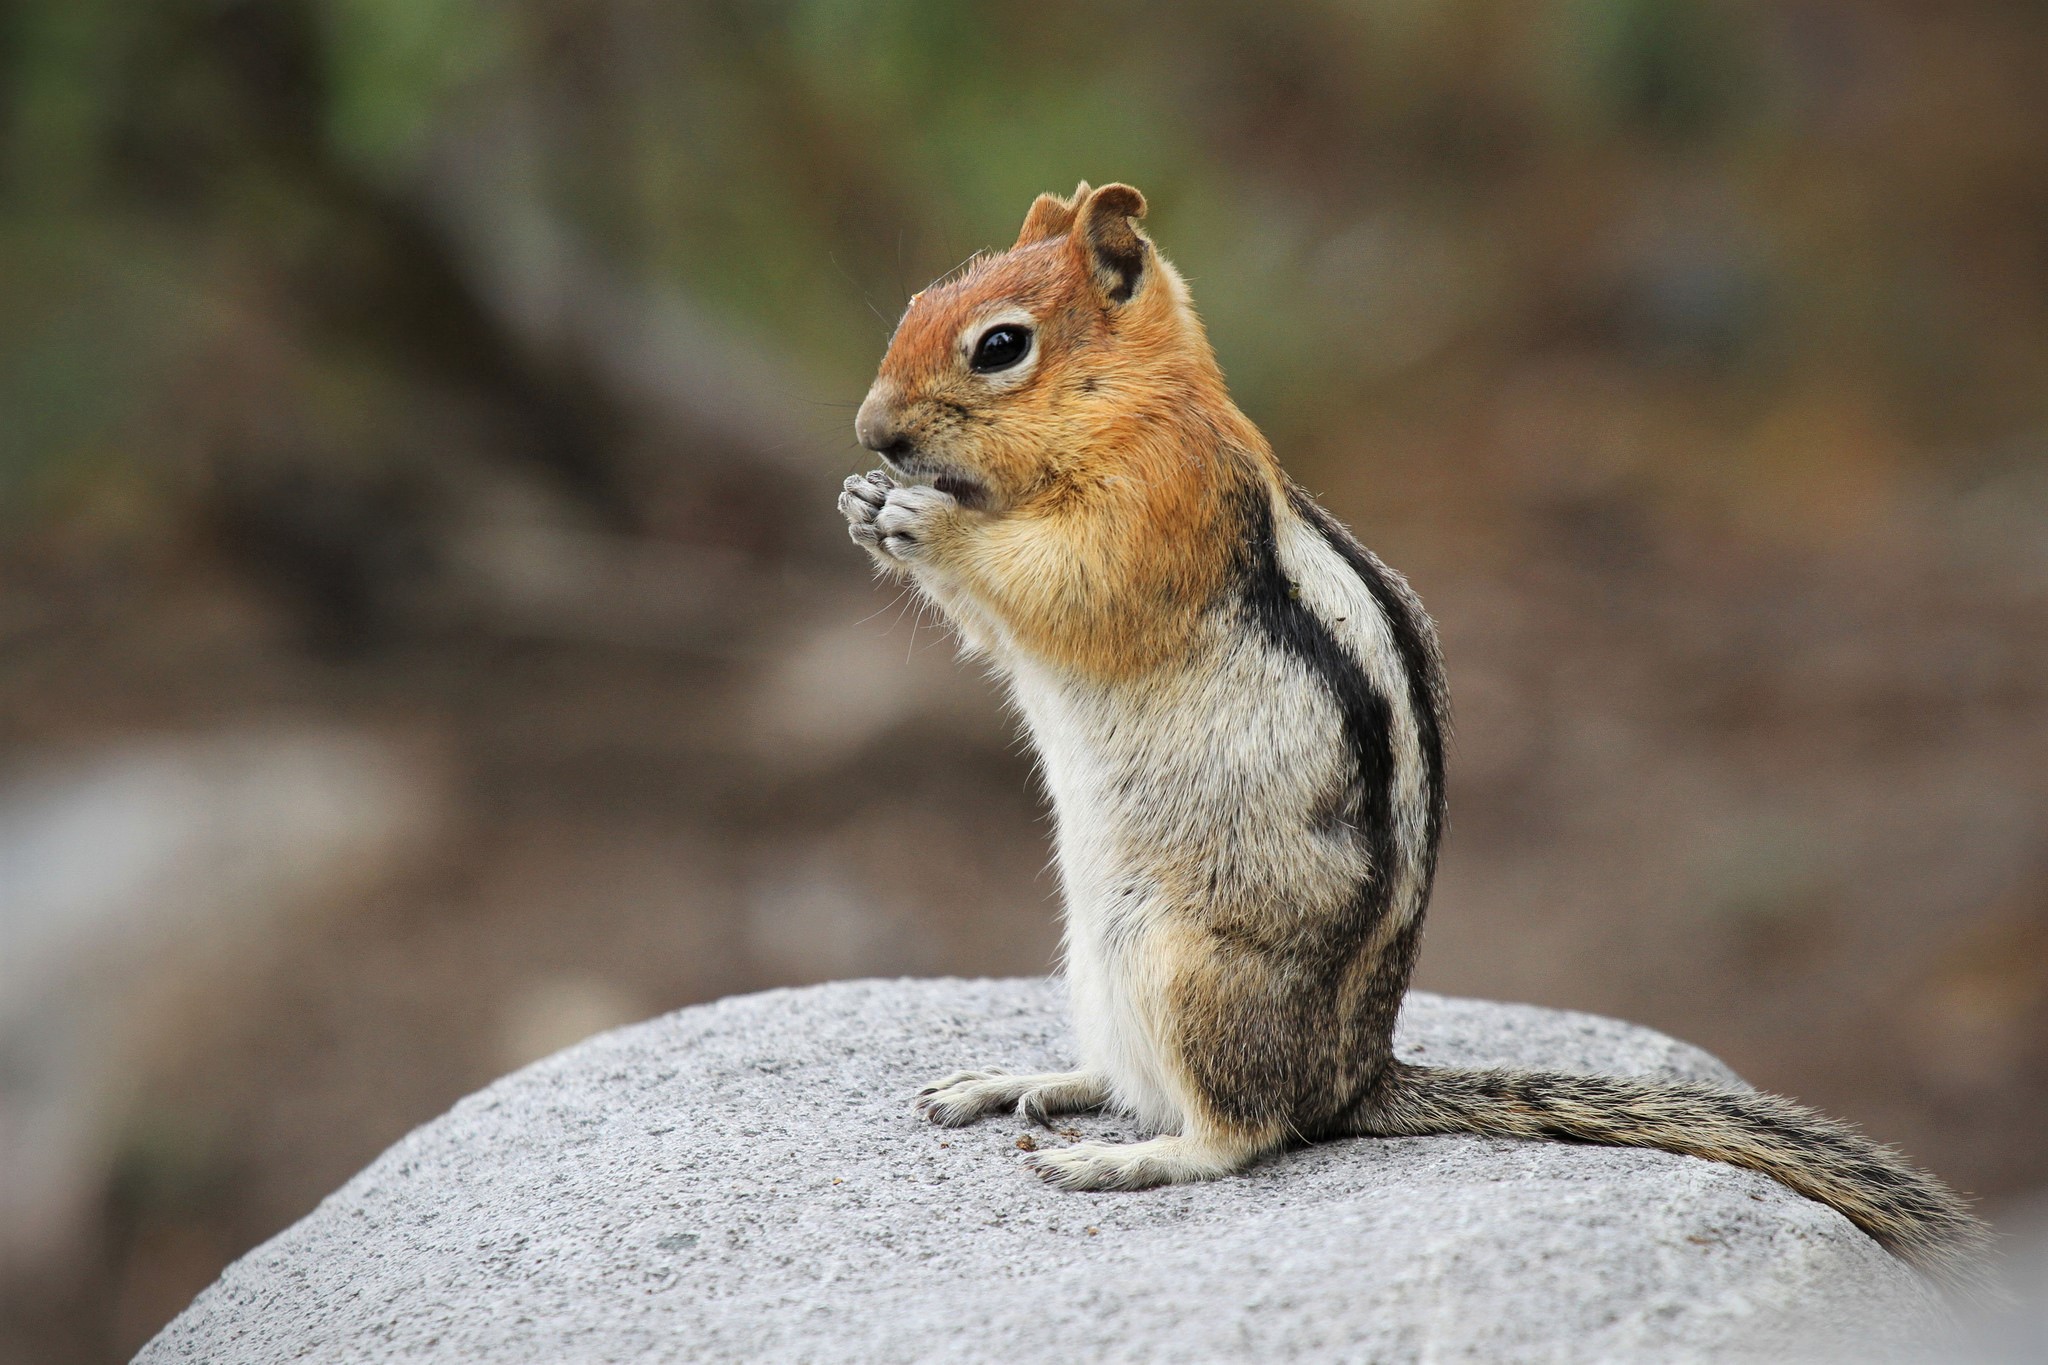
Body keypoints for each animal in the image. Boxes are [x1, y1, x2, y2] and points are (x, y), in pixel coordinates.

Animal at [835, 181, 1982, 1293]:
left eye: (999, 345)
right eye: (915, 303)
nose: (871, 431)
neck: (1127, 403)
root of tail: (1357, 1078)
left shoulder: (1156, 509)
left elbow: (1060, 585)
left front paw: (924, 518)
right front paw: (863, 501)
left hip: (1184, 968)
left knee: (1244, 1131)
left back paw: (1124, 1159)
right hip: (1097, 963)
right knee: (1136, 1081)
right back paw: (1013, 1082)